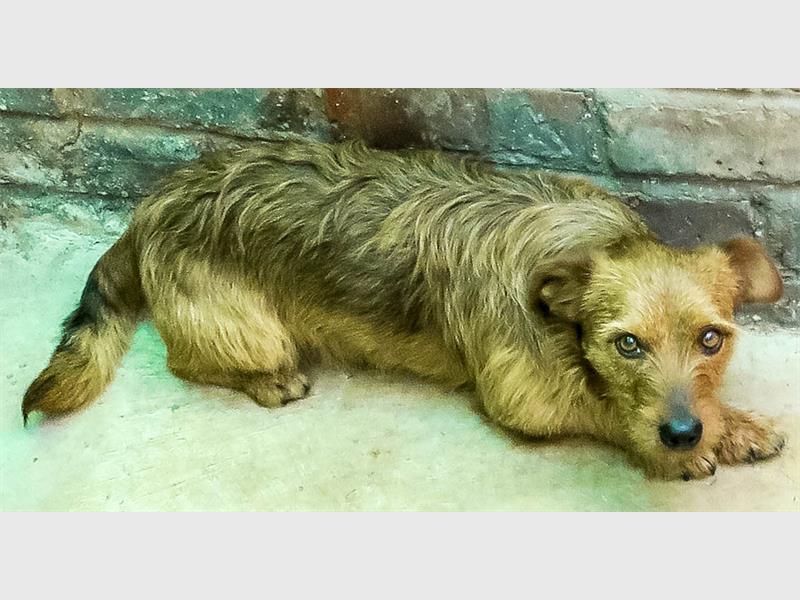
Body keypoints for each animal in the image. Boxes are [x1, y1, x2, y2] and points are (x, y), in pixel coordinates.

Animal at [22, 139, 786, 479]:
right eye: (627, 344)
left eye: (713, 340)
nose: (682, 432)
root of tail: (149, 205)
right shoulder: (524, 398)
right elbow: (602, 409)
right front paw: (705, 442)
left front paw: (733, 425)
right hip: (245, 329)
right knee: (187, 360)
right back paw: (267, 380)